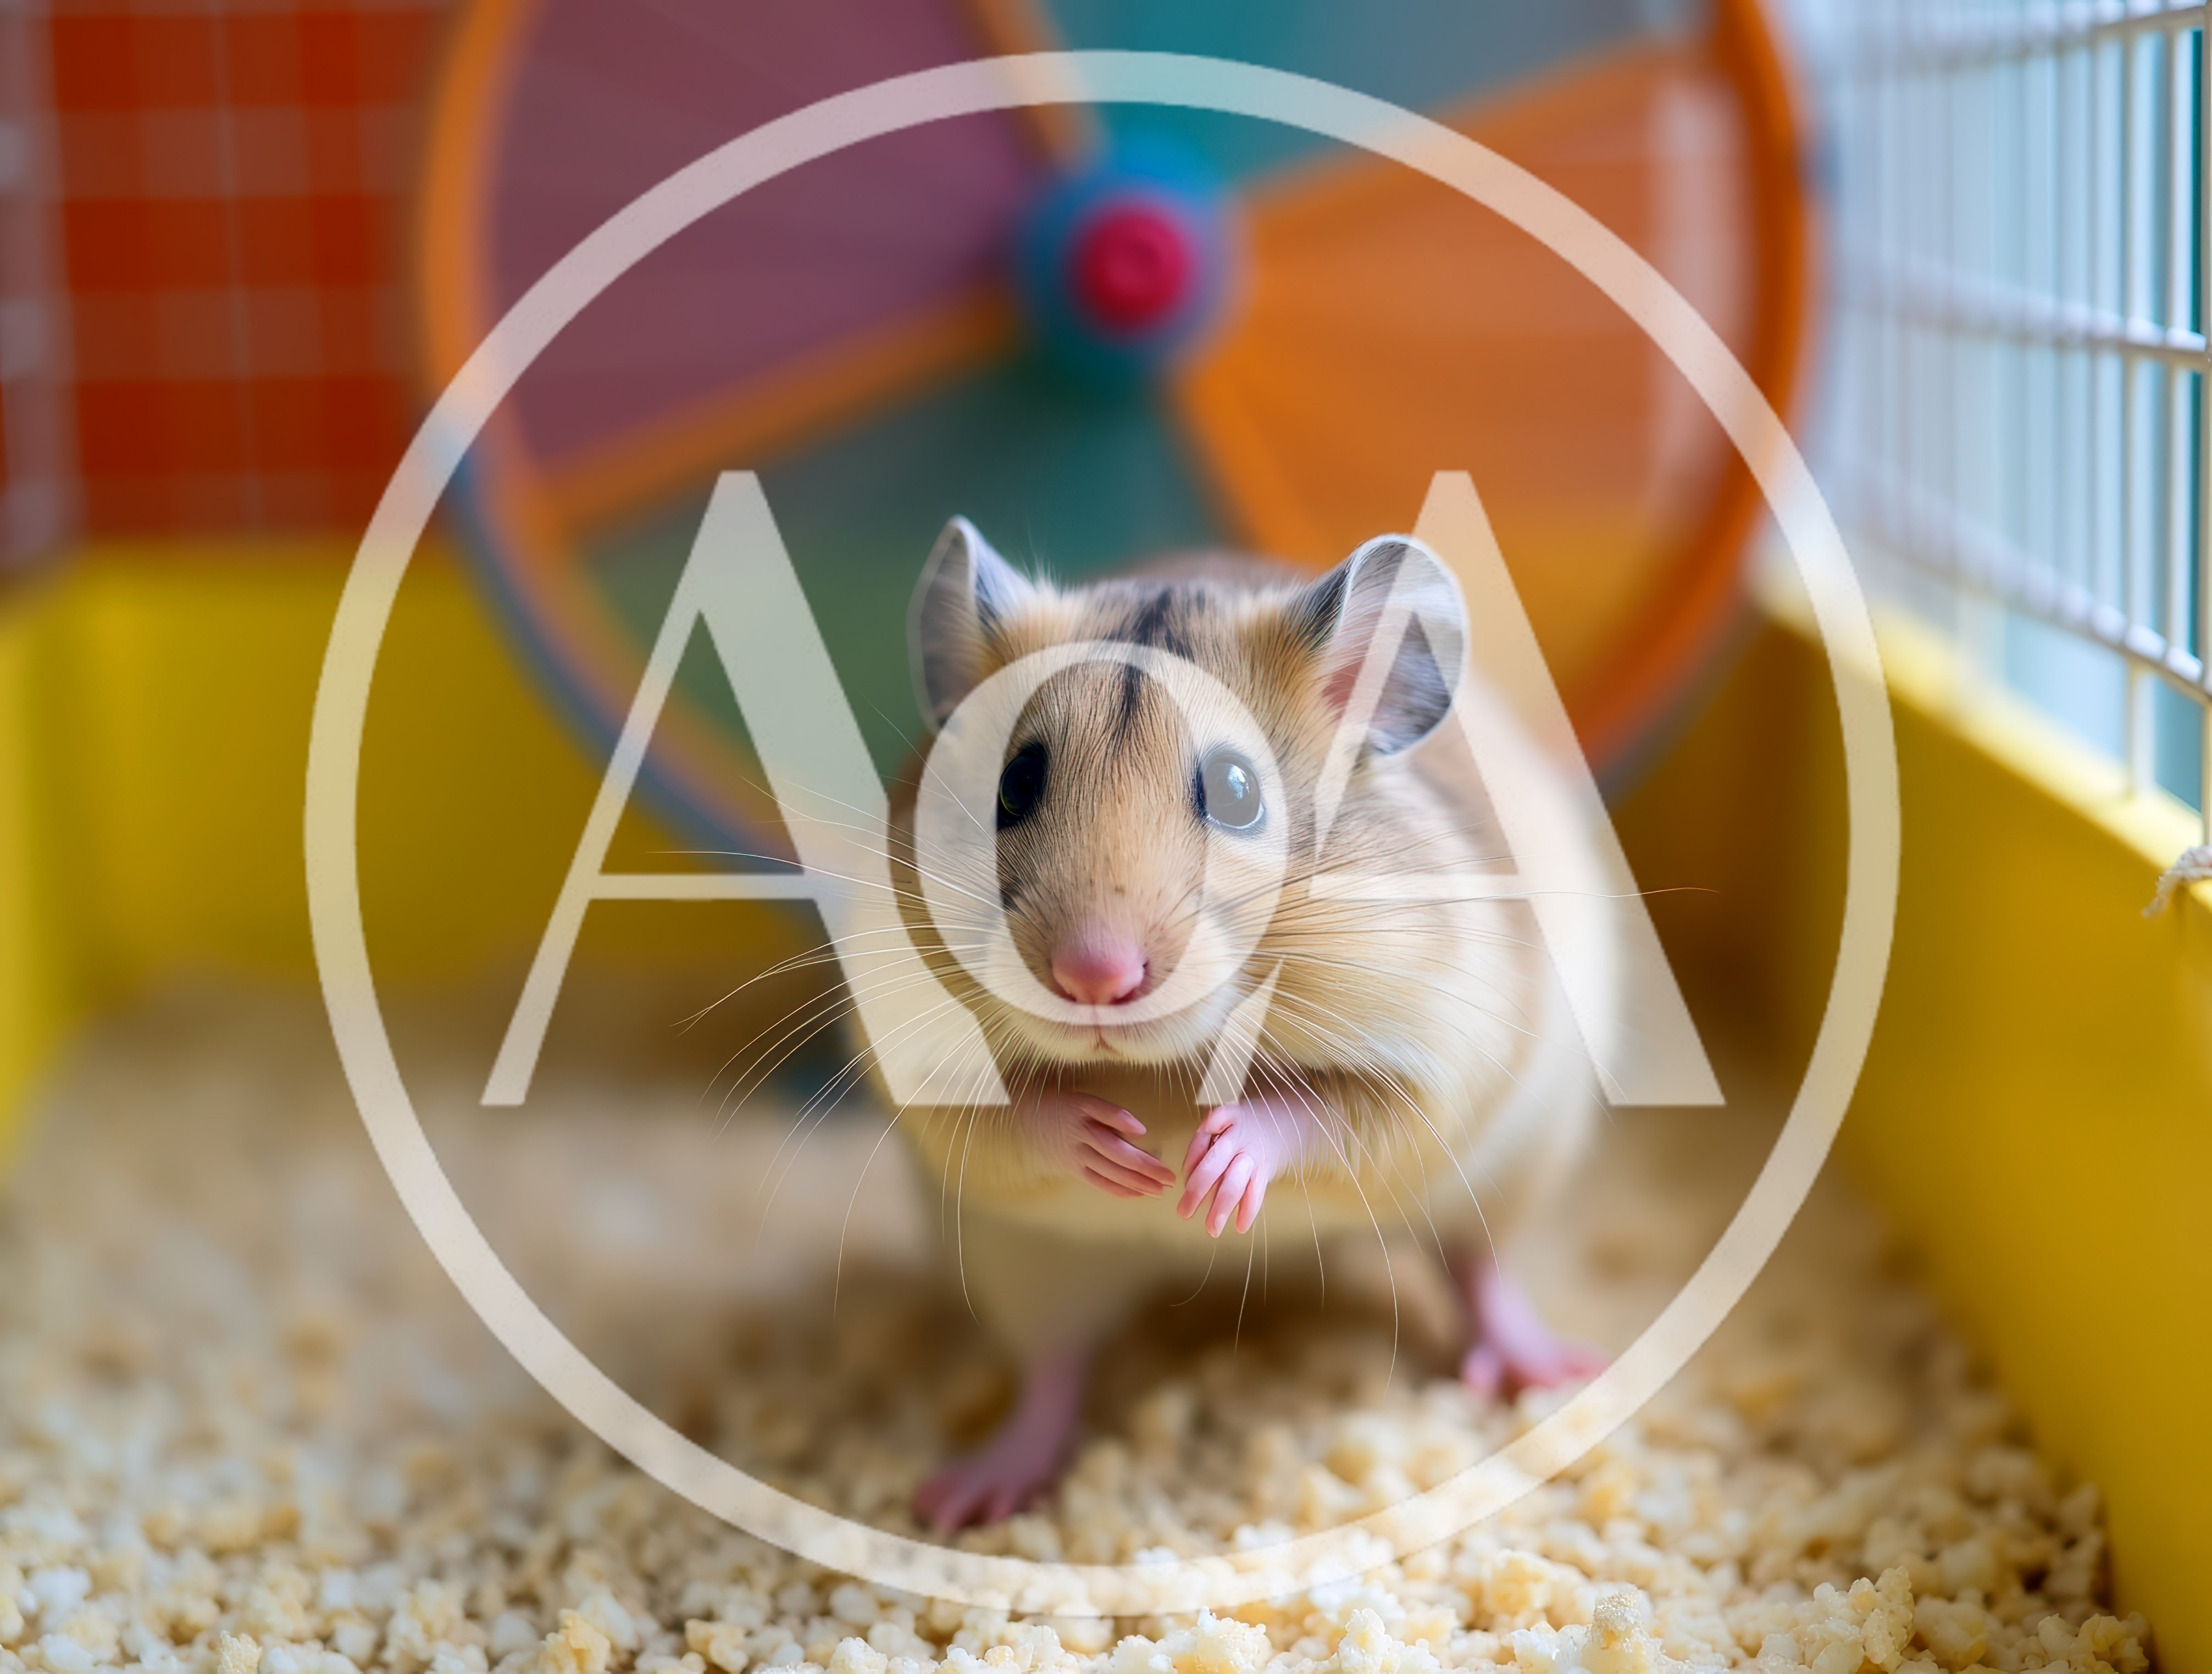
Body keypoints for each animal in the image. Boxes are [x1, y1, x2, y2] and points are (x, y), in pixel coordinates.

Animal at [880, 517, 1610, 1532]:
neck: (1165, 1063)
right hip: (1026, 1261)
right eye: (1015, 783)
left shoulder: (1438, 1067)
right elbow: (1008, 1120)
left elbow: (1324, 1113)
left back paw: (1555, 1373)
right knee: (1051, 1372)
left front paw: (1208, 1171)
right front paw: (1122, 1153)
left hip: (1511, 1174)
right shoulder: (918, 1063)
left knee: (1481, 1272)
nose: (1094, 976)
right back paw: (965, 1497)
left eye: (1235, 791)